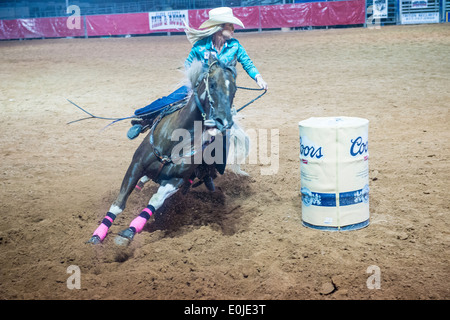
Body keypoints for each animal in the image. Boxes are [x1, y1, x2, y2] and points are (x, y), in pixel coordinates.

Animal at [85, 55, 239, 245]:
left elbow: (155, 202)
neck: (175, 139)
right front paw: (98, 234)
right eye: (212, 85)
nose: (224, 121)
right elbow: (119, 203)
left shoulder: (175, 181)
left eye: (235, 89)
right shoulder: (136, 165)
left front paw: (128, 232)